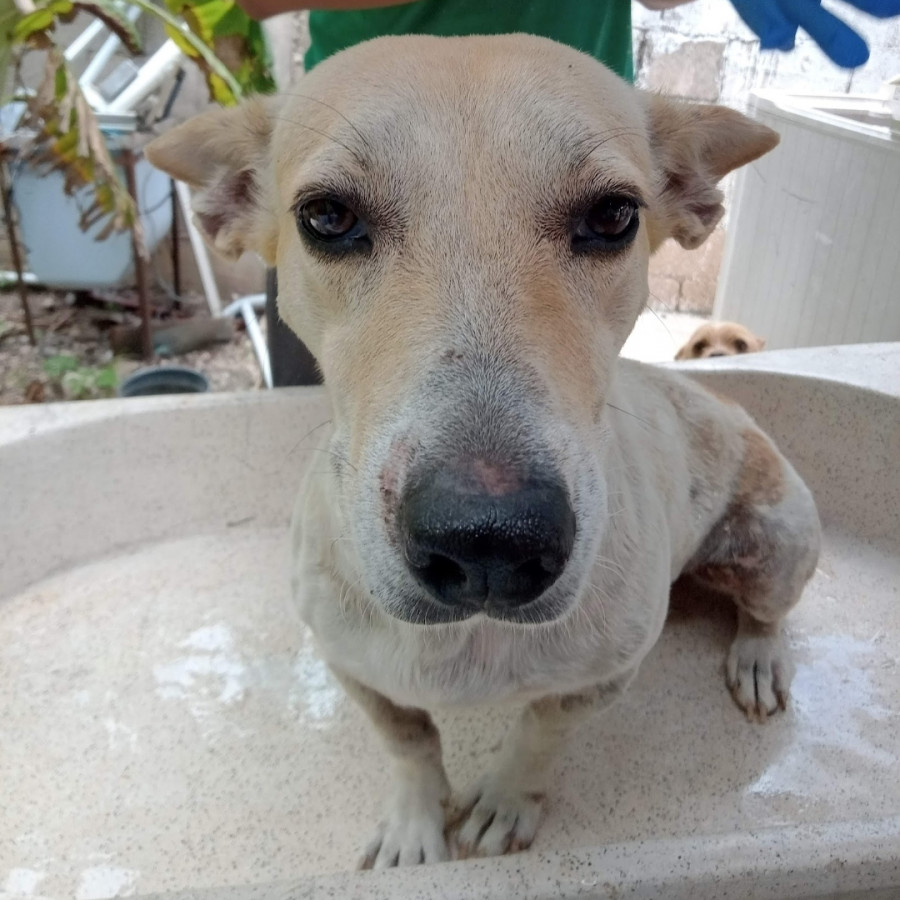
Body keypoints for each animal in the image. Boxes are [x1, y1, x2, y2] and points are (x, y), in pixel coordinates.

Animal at [148, 33, 824, 864]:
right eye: (327, 216)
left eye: (613, 215)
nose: (489, 542)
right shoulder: (351, 665)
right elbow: (408, 739)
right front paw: (414, 826)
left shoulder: (604, 675)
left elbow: (538, 734)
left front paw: (504, 802)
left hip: (779, 535)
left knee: (768, 610)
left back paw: (758, 657)